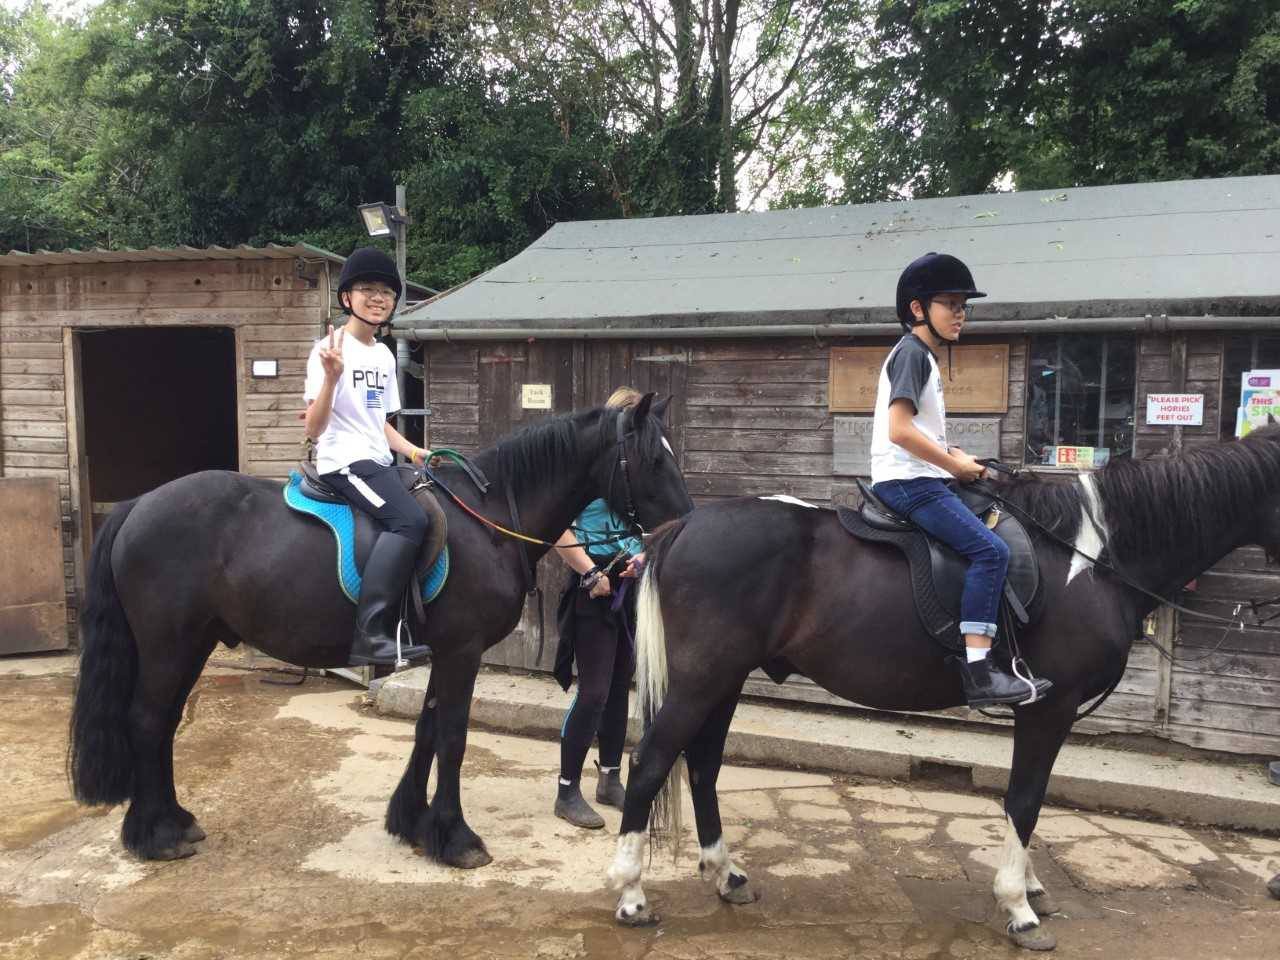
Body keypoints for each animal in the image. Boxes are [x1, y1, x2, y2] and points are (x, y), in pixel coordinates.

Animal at [68, 394, 693, 868]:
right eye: (653, 461)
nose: (684, 525)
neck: (489, 520)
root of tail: (138, 505)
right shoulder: (462, 651)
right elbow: (453, 738)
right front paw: (456, 838)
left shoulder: (445, 652)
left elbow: (427, 729)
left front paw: (413, 822)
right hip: (168, 645)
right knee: (146, 721)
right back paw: (154, 835)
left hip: (191, 643)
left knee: (164, 723)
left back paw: (174, 821)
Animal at [606, 425, 1280, 950]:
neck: (1091, 559)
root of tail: (683, 526)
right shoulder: (1049, 707)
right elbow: (1025, 799)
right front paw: (1019, 906)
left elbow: (1027, 800)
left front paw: (1027, 885)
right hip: (702, 679)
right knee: (649, 763)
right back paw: (632, 894)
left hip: (724, 680)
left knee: (702, 764)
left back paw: (725, 875)